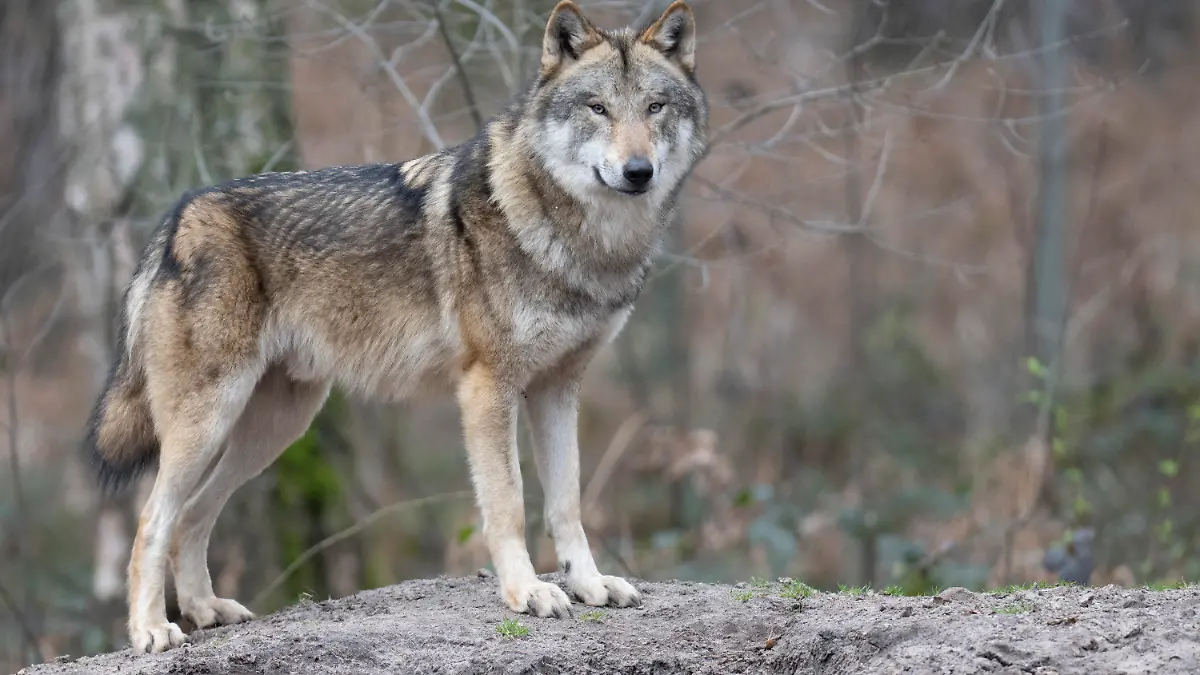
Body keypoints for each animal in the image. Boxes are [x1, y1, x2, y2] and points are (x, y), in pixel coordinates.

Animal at [84, 0, 707, 654]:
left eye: (654, 107)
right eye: (597, 108)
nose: (638, 171)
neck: (580, 242)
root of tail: (178, 216)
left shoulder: (558, 389)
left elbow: (566, 503)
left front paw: (588, 584)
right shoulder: (488, 387)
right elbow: (509, 503)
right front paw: (527, 593)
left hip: (274, 429)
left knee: (193, 516)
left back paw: (207, 611)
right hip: (210, 422)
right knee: (152, 520)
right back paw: (151, 630)